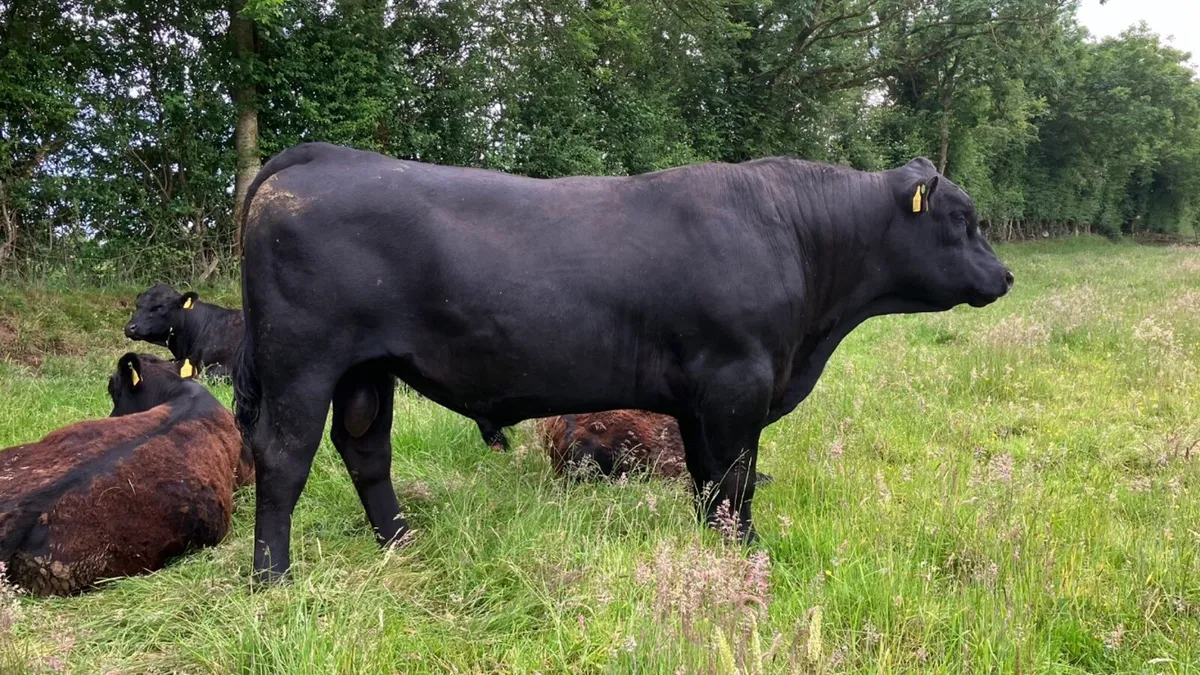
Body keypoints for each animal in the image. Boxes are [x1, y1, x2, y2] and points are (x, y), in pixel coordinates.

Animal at [234, 142, 1013, 582]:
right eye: (962, 219)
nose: (1004, 275)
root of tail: (324, 156)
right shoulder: (737, 382)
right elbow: (737, 478)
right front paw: (746, 553)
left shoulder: (701, 399)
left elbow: (708, 481)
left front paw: (714, 550)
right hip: (302, 362)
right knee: (283, 457)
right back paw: (273, 577)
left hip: (366, 370)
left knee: (366, 451)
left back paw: (399, 542)